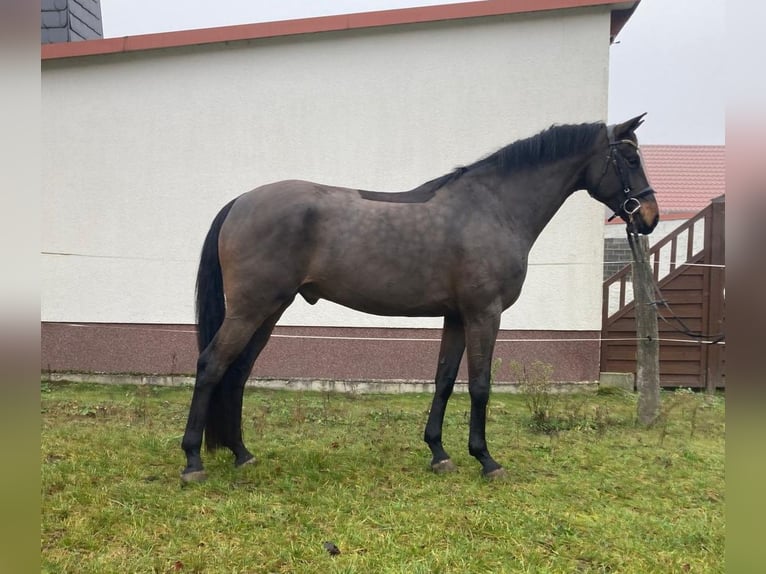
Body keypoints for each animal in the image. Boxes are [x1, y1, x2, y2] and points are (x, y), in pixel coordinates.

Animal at [181, 114, 659, 482]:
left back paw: (241, 453)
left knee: (238, 371)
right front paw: (487, 460)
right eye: (631, 158)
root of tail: (241, 201)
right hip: (251, 308)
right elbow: (481, 385)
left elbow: (444, 380)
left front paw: (440, 453)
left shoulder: (457, 317)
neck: (493, 207)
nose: (650, 217)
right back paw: (192, 462)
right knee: (211, 365)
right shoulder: (484, 314)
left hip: (269, 310)